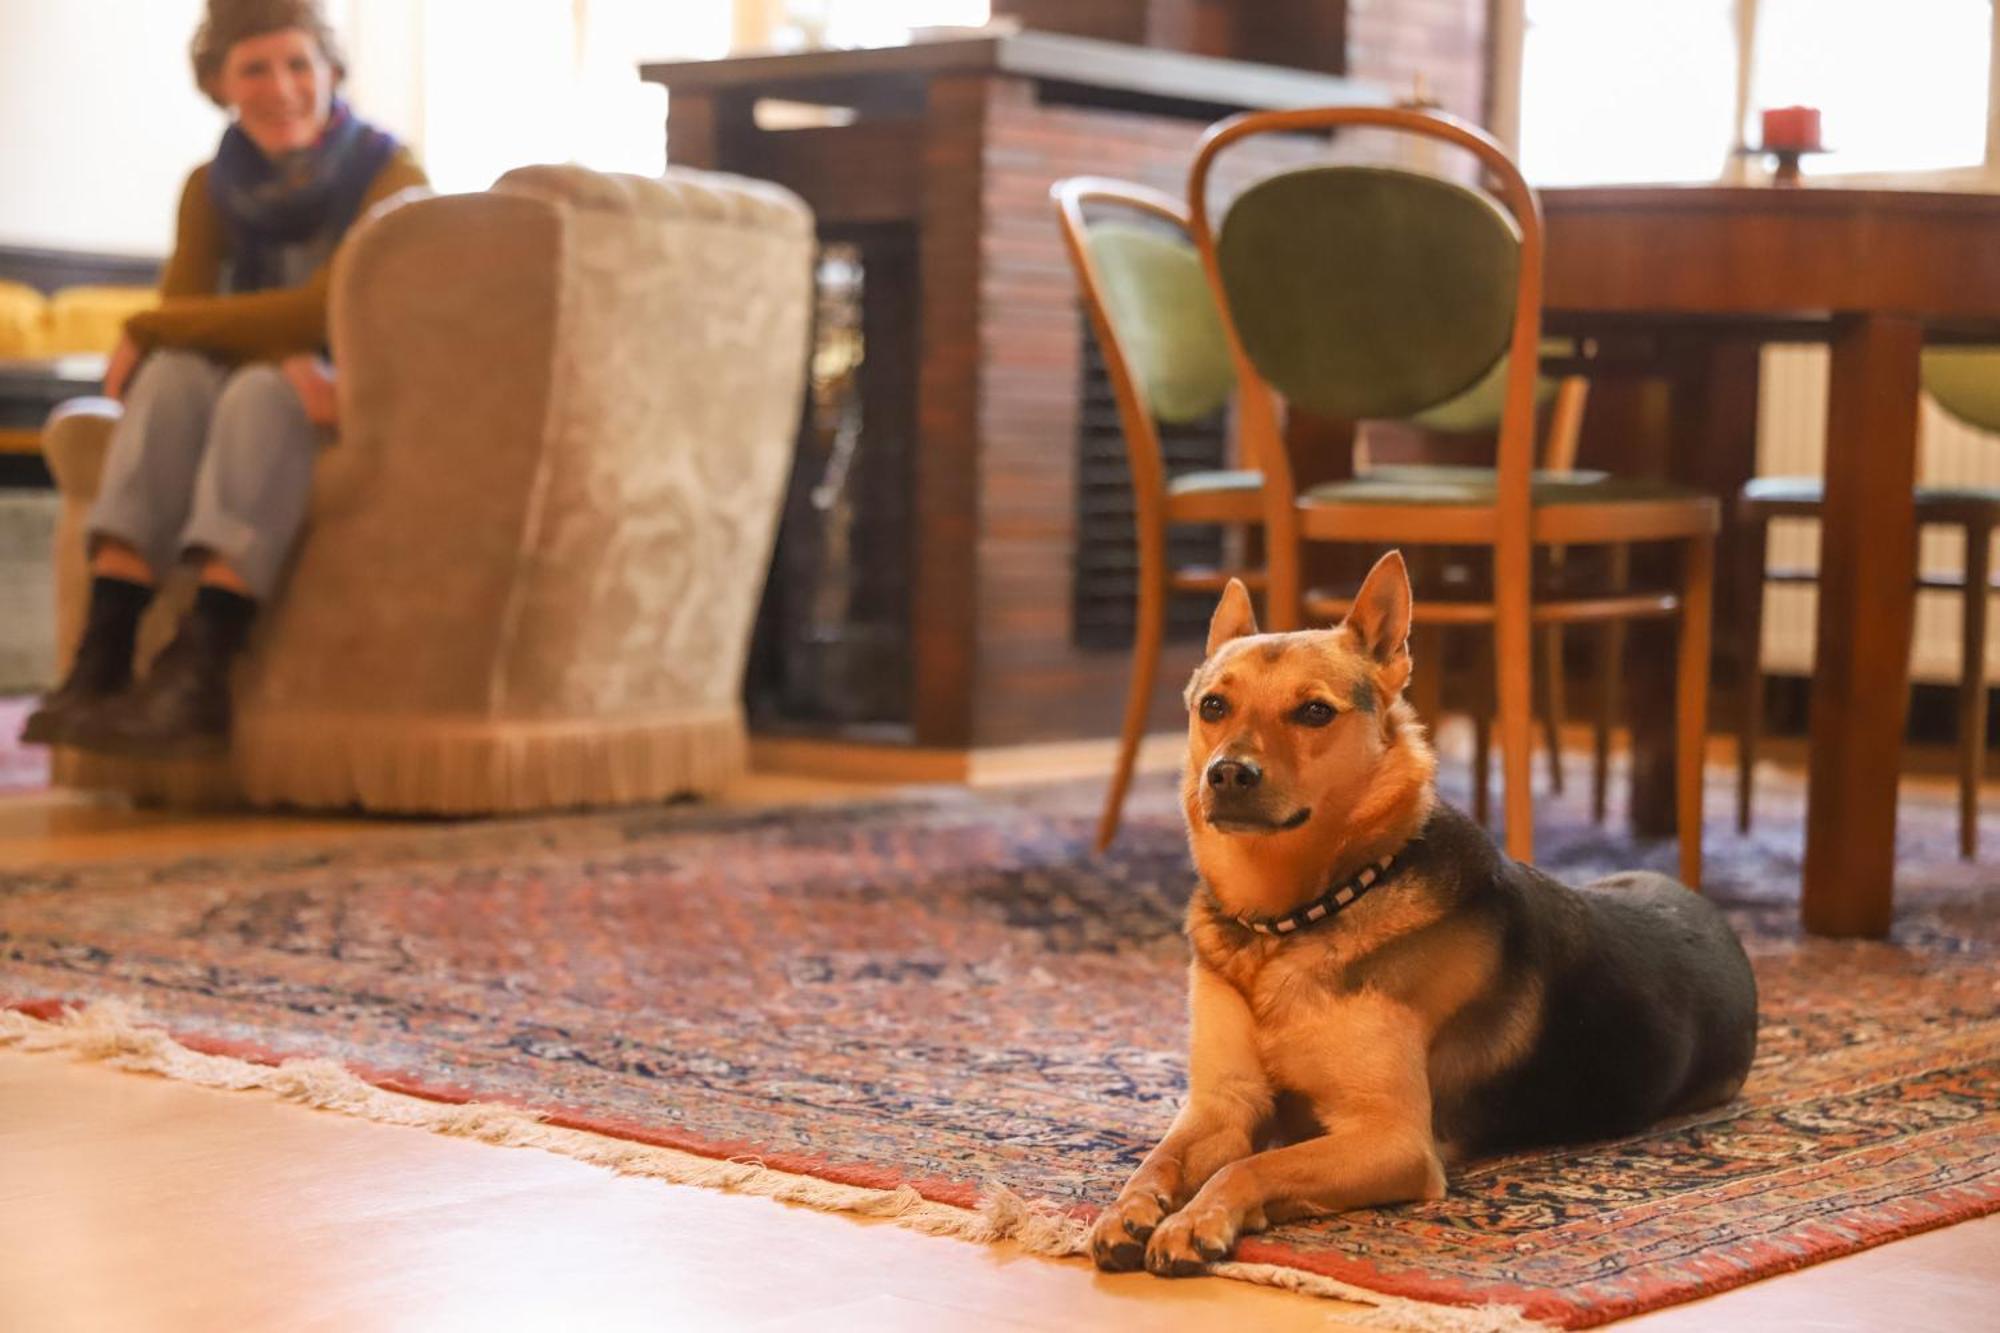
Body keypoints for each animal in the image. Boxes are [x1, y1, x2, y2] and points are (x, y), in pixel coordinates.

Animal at [1088, 544, 1760, 1272]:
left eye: (1314, 713)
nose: (1228, 772)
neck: (1290, 923)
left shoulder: (1393, 1139)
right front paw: (1127, 1210)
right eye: (1212, 705)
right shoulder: (1223, 1103)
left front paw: (1196, 1218)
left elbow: (1250, 1167)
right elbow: (1159, 1158)